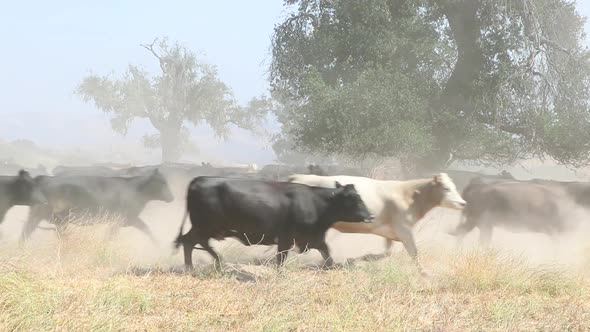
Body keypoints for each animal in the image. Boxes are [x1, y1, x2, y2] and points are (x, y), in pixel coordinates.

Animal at [20, 170, 173, 243]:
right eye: (162, 183)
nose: (172, 197)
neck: (135, 189)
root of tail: (43, 179)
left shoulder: (130, 219)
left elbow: (146, 229)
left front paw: (159, 246)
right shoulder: (120, 220)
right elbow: (110, 237)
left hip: (41, 216)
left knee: (26, 231)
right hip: (54, 217)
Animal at [173, 176, 374, 270]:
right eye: (354, 200)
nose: (371, 216)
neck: (316, 203)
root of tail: (199, 179)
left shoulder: (313, 238)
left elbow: (328, 254)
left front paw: (330, 268)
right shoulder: (286, 238)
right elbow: (281, 258)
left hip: (208, 228)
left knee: (196, 242)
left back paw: (218, 261)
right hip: (204, 226)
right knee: (189, 241)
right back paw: (193, 267)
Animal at [290, 172, 468, 274]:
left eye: (454, 186)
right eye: (446, 188)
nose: (463, 203)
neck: (409, 195)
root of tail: (298, 177)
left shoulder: (391, 232)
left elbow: (387, 252)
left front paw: (365, 258)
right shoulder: (404, 229)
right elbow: (414, 252)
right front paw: (423, 272)